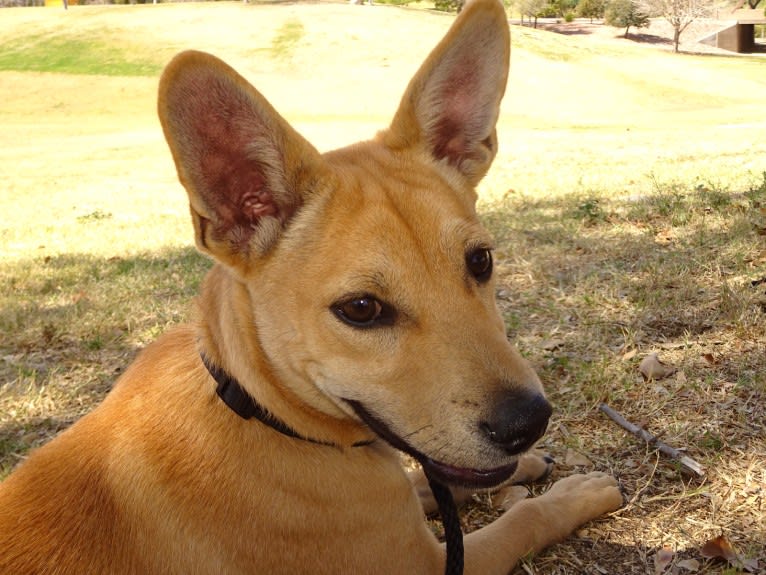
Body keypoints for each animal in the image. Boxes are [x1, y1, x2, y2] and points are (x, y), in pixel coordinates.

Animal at [0, 2, 624, 572]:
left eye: (481, 261)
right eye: (361, 309)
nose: (528, 425)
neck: (256, 407)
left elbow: (432, 478)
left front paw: (526, 468)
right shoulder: (433, 561)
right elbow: (521, 519)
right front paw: (576, 494)